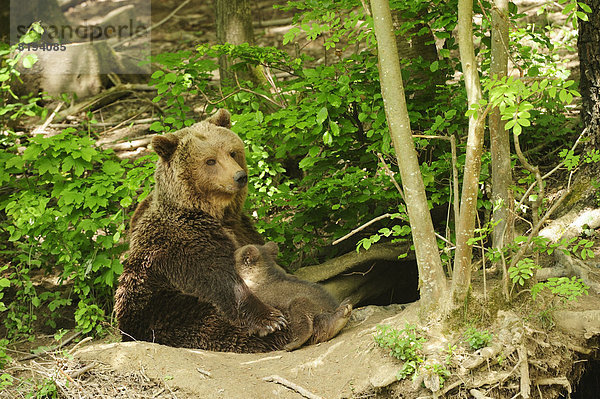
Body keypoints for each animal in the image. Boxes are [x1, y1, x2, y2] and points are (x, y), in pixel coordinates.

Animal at [113, 109, 292, 354]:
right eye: (210, 161)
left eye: (232, 152)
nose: (240, 176)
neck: (213, 212)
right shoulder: (184, 241)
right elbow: (218, 277)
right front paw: (271, 320)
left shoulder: (241, 227)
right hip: (159, 309)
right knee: (210, 325)